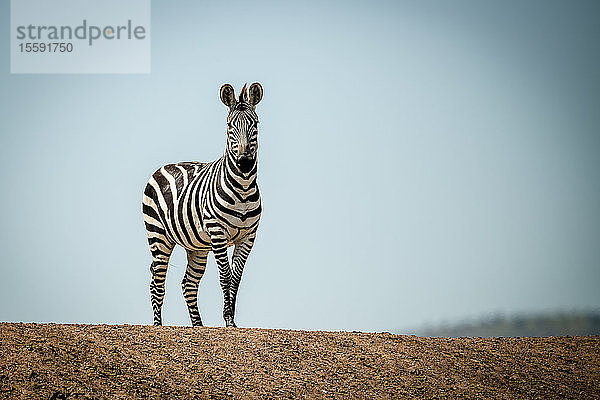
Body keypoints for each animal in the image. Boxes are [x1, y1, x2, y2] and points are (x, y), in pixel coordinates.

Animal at [142, 83, 264, 326]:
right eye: (229, 126)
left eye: (255, 124)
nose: (244, 163)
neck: (244, 188)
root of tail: (164, 166)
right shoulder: (217, 233)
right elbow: (225, 276)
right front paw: (228, 321)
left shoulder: (248, 236)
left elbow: (236, 278)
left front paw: (231, 322)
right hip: (158, 236)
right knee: (157, 284)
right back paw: (158, 326)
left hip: (196, 247)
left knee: (188, 285)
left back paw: (198, 327)